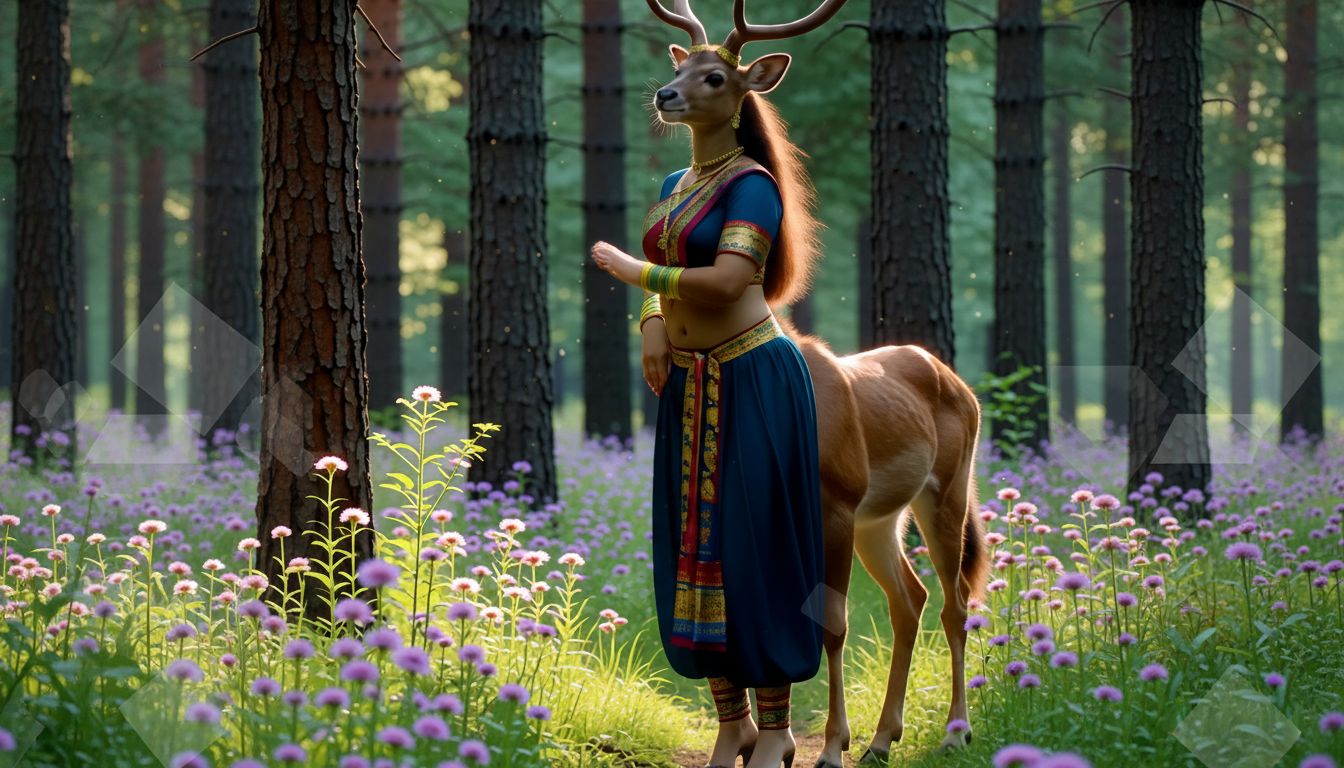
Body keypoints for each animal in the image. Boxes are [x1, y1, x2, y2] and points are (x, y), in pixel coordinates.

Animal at [639, 2, 990, 767]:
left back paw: (955, 728)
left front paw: (826, 746)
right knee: (911, 599)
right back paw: (886, 737)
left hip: (944, 489)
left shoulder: (832, 497)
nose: (665, 94)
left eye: (716, 75)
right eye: (681, 63)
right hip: (882, 515)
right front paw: (783, 741)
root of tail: (956, 380)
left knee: (954, 602)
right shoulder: (839, 510)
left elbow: (829, 624)